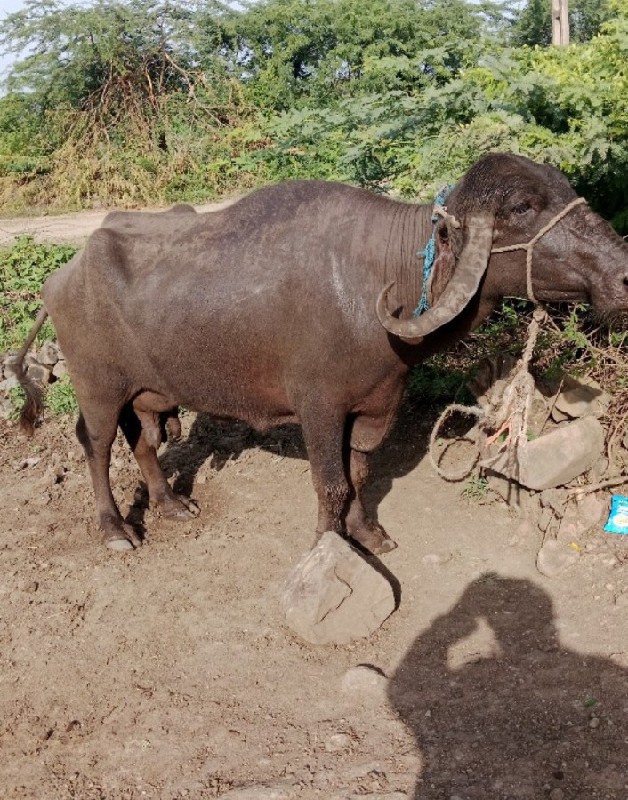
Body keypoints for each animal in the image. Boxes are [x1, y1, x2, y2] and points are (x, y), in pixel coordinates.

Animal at [13, 153, 628, 552]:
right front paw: (329, 544)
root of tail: (62, 277)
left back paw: (169, 504)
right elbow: (330, 482)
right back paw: (115, 529)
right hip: (98, 388)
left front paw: (368, 533)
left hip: (147, 391)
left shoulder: (378, 404)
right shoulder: (319, 406)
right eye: (523, 206)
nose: (622, 274)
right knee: (95, 446)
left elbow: (360, 471)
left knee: (142, 440)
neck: (381, 274)